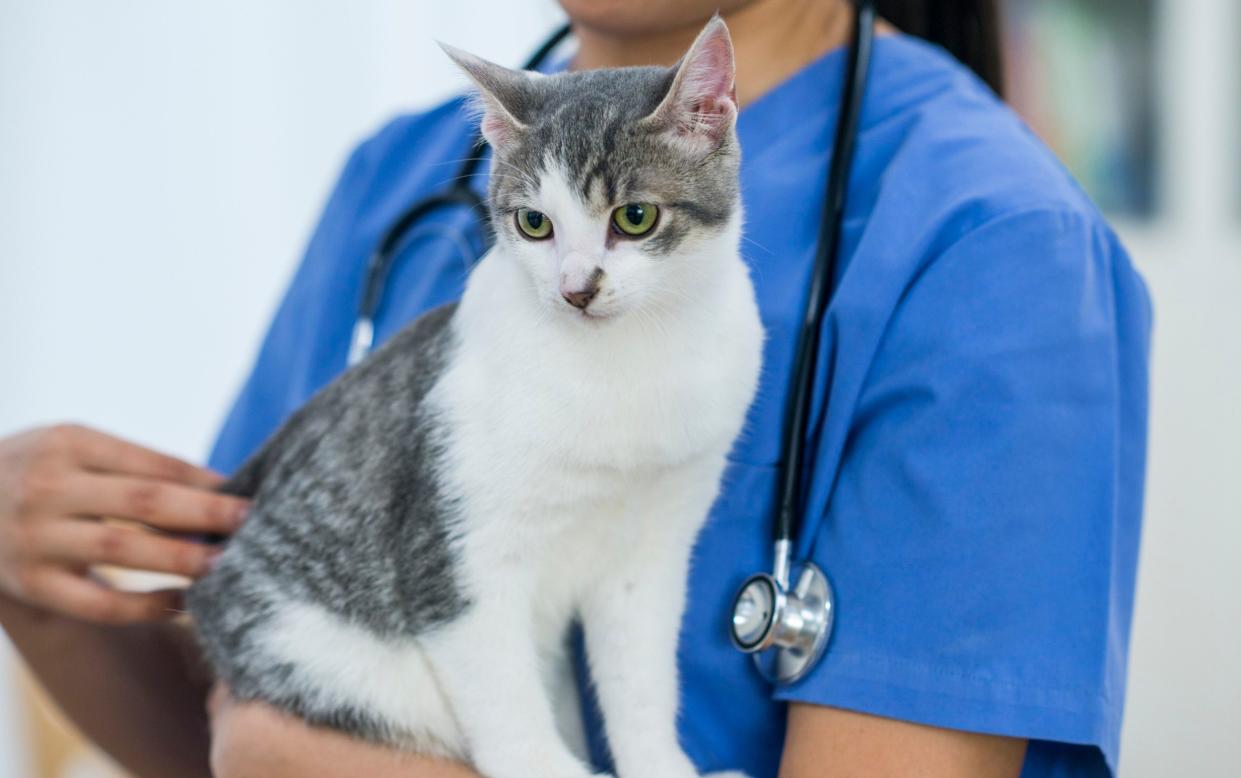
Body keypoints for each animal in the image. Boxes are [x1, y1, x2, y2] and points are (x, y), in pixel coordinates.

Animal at [187, 18, 759, 778]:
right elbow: (504, 698)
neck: (624, 363)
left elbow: (639, 682)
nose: (576, 288)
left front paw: (660, 765)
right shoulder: (454, 550)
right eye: (534, 224)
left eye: (634, 217)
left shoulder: (651, 550)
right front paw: (551, 766)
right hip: (327, 653)